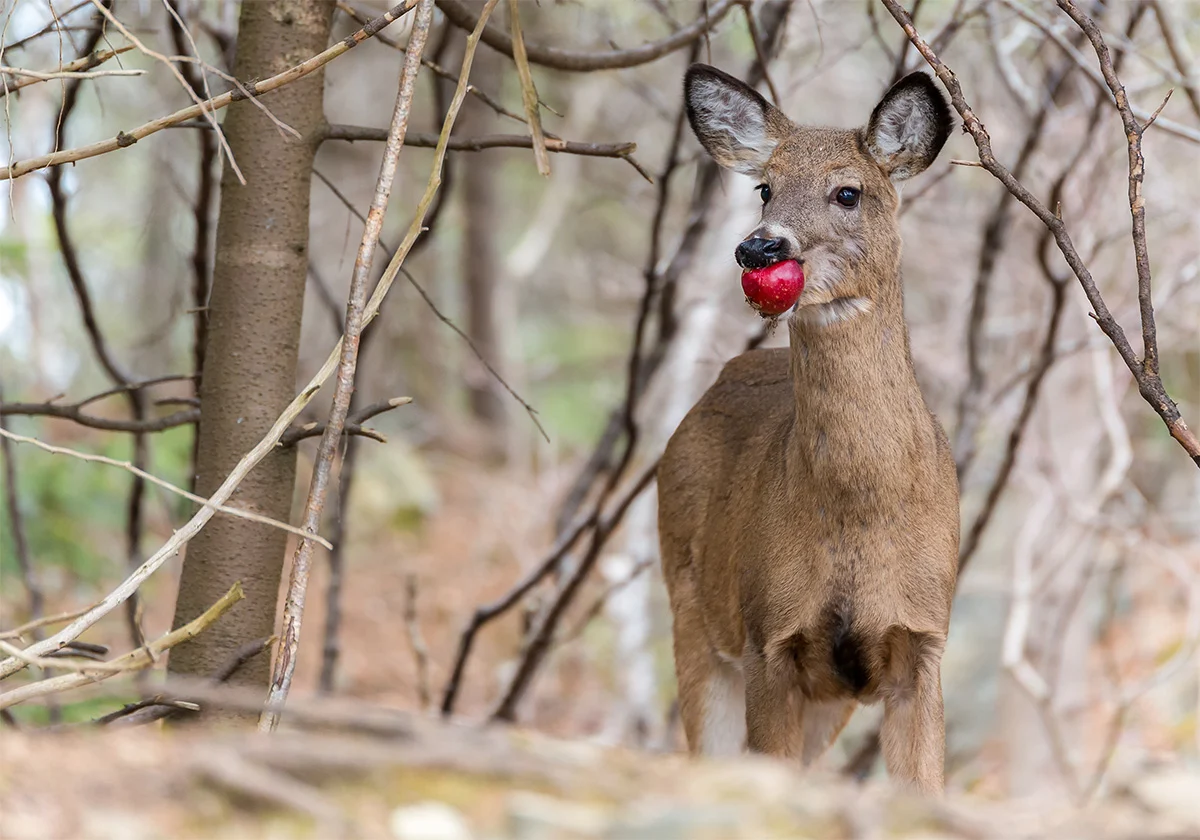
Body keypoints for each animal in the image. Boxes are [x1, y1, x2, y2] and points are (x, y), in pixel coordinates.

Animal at [657, 65, 955, 792]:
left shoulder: (923, 636)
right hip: (691, 608)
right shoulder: (769, 636)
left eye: (848, 191)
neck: (860, 512)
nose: (759, 245)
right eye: (765, 187)